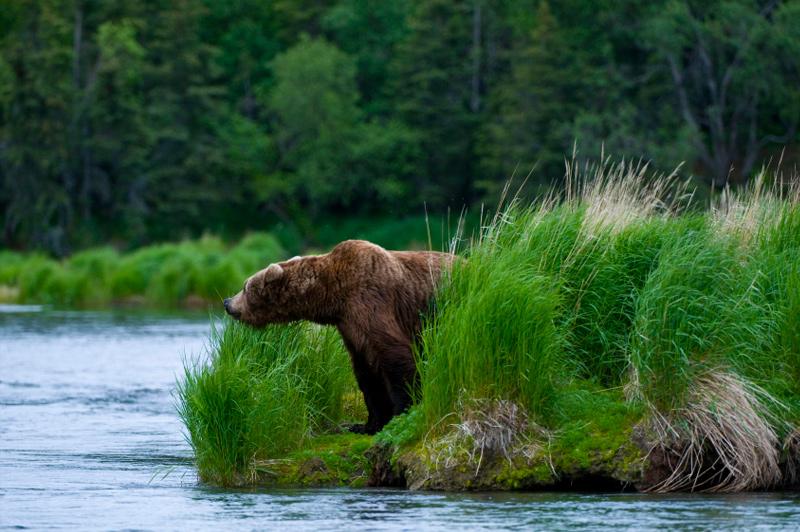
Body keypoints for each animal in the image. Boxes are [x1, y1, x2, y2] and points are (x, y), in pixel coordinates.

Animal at [223, 239, 455, 434]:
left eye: (245, 286)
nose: (227, 302)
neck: (334, 295)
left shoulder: (372, 302)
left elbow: (395, 356)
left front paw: (402, 412)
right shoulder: (351, 328)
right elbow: (368, 374)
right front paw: (366, 425)